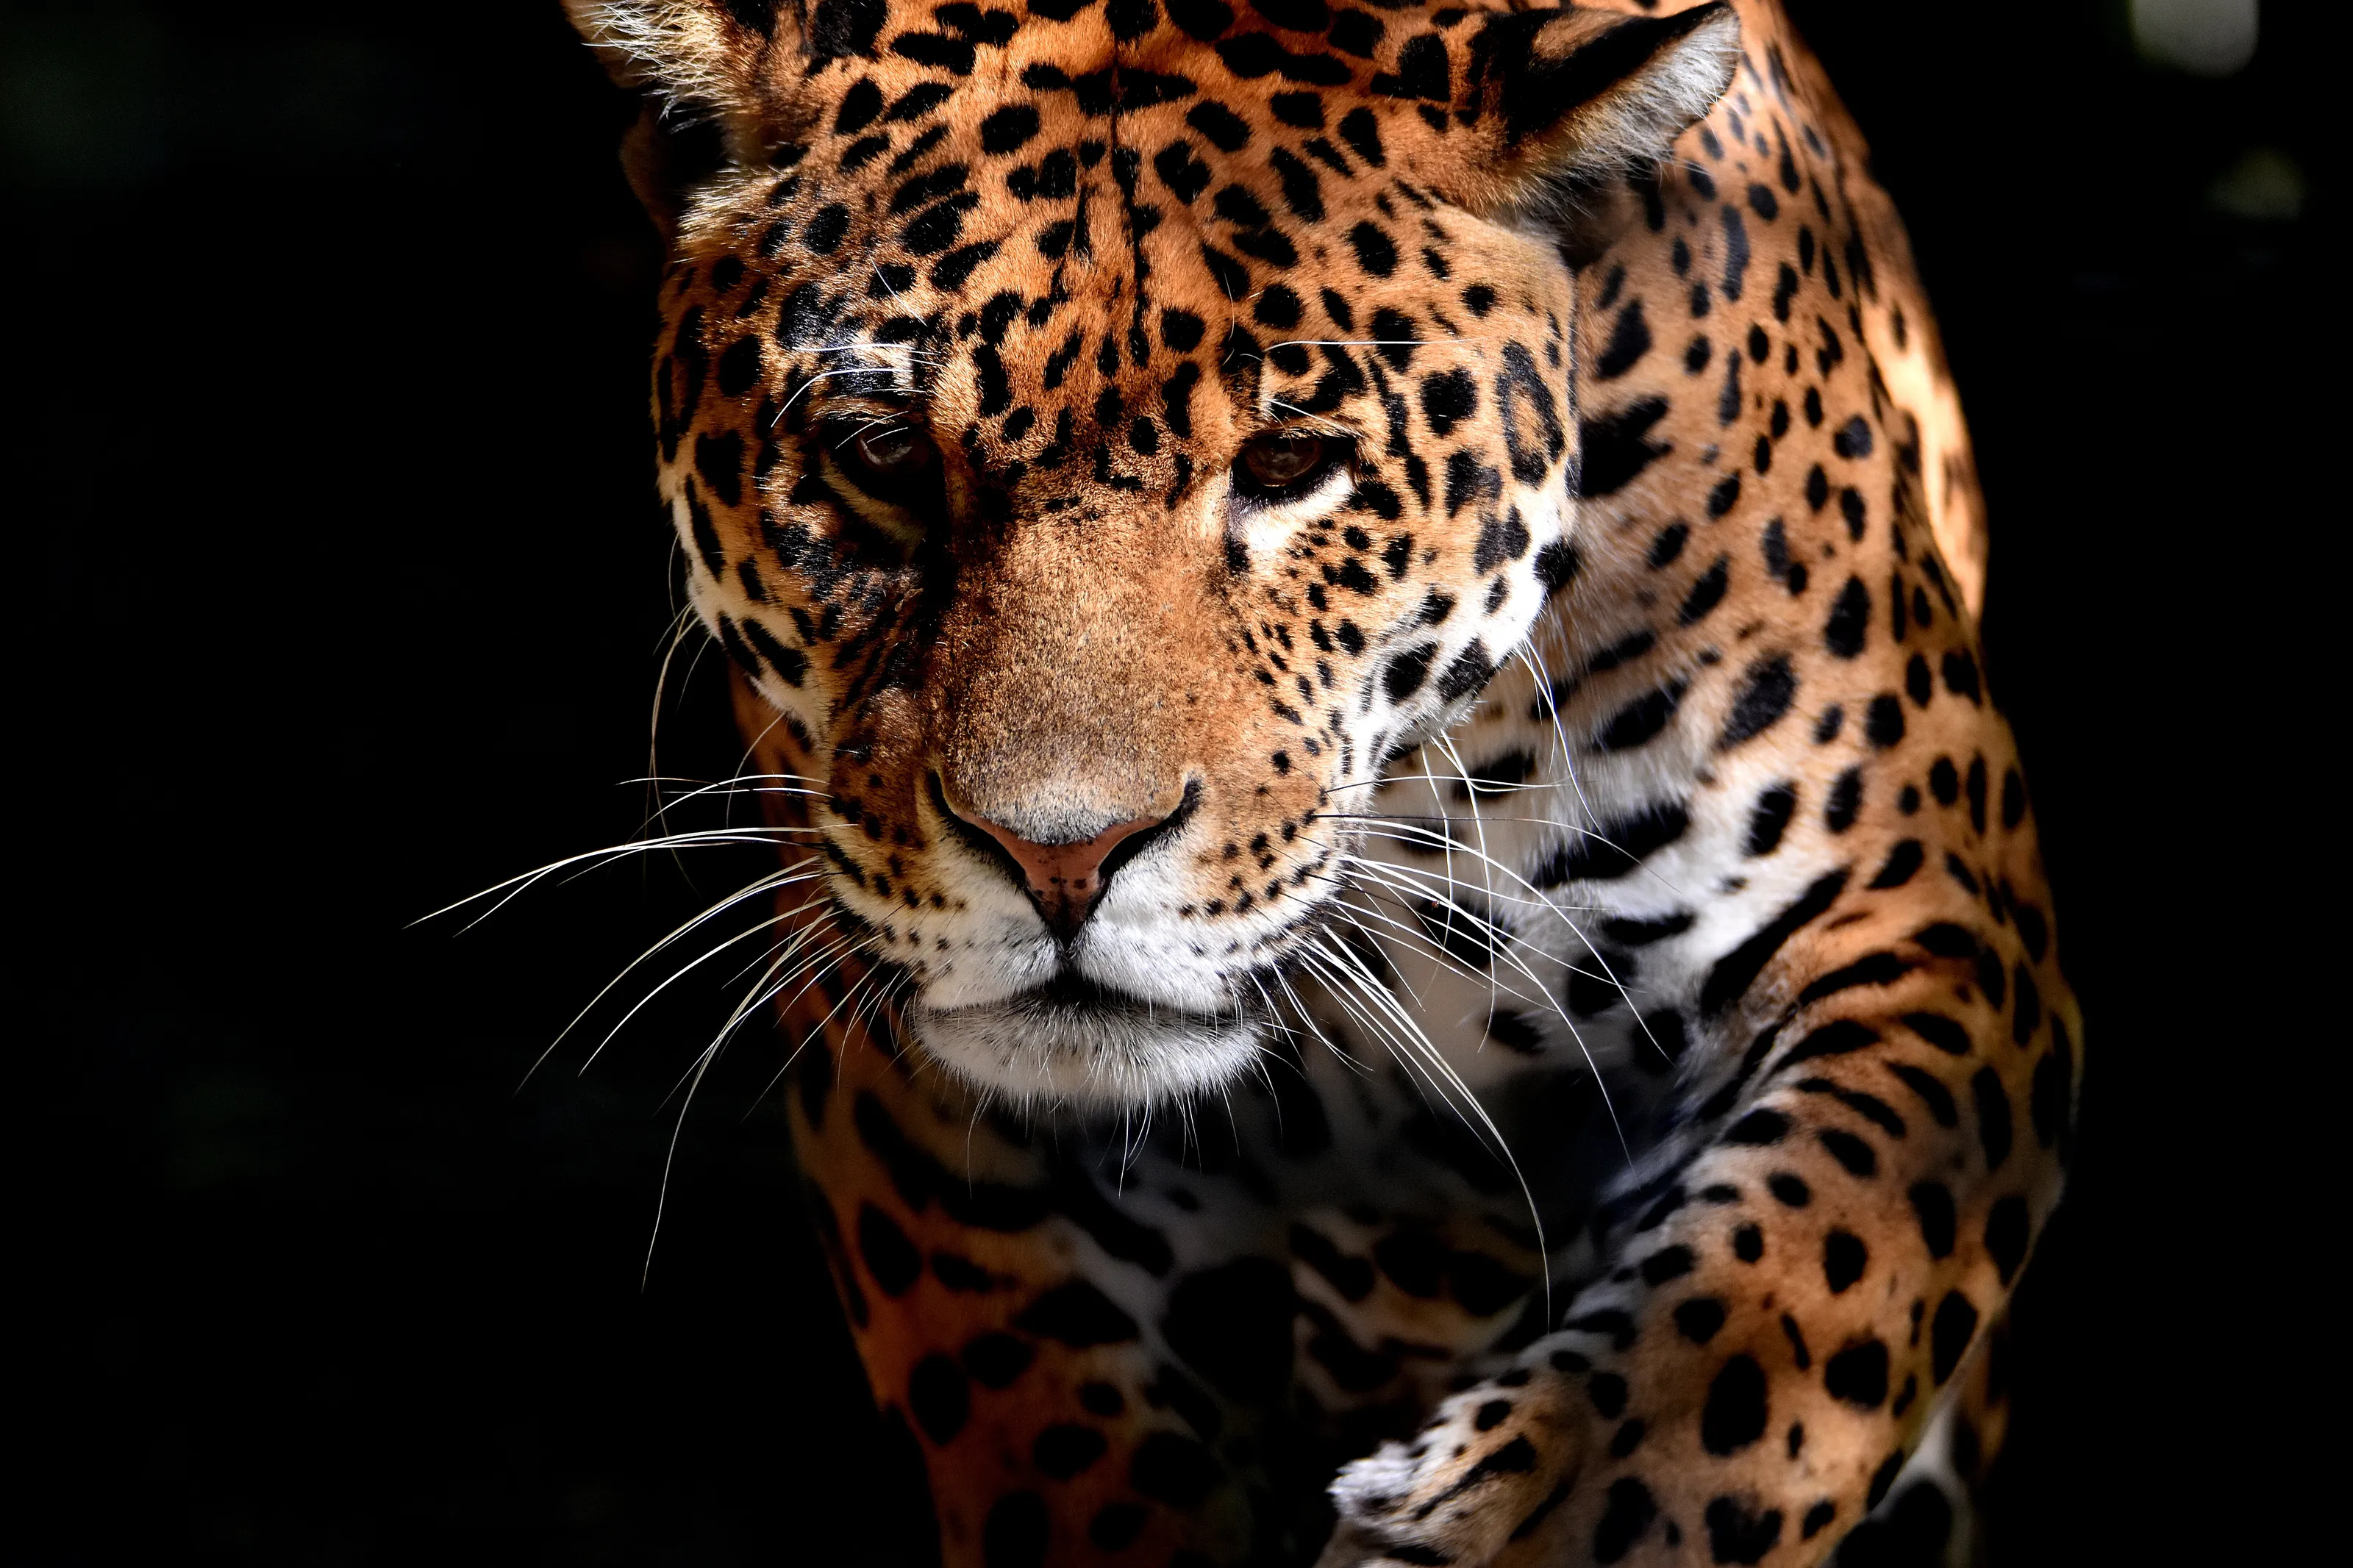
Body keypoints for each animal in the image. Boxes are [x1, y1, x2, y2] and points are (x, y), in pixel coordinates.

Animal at [558, 0, 2077, 1563]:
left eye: (1293, 462)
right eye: (881, 455)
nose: (1059, 861)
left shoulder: (1923, 941)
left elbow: (1743, 1354)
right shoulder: (901, 1059)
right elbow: (1053, 1439)